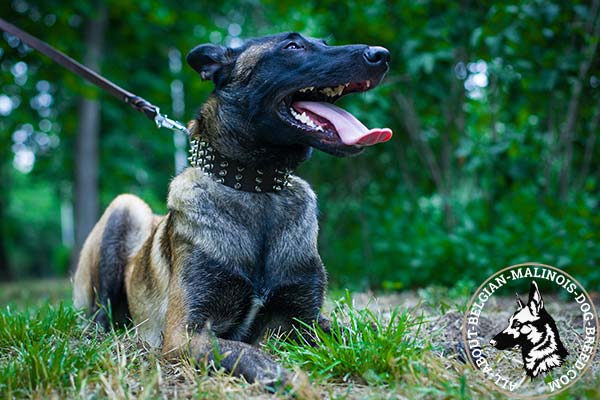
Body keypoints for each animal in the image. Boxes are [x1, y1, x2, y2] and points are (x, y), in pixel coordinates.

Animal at [72, 32, 392, 390]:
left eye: (323, 42)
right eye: (292, 46)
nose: (381, 55)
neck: (257, 187)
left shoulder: (304, 320)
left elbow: (358, 332)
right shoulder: (185, 334)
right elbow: (252, 355)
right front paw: (300, 384)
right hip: (126, 206)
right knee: (101, 313)